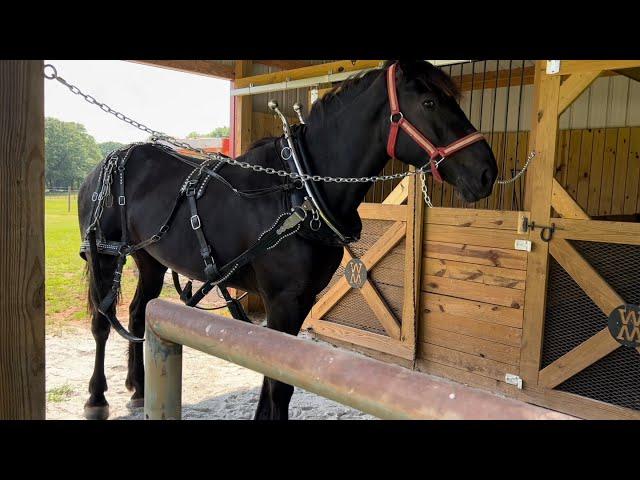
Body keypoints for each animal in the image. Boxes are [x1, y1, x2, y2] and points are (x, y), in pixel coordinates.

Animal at [80, 60, 498, 420]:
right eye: (429, 102)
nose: (487, 172)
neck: (299, 190)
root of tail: (109, 160)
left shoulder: (304, 298)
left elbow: (278, 380)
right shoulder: (282, 300)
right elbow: (278, 386)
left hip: (149, 259)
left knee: (137, 313)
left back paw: (138, 387)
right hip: (104, 256)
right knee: (102, 321)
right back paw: (97, 397)